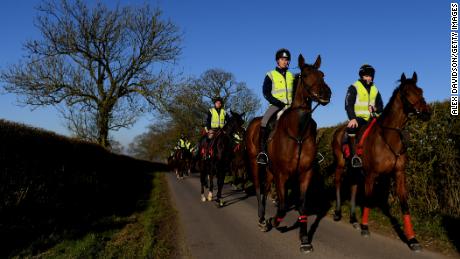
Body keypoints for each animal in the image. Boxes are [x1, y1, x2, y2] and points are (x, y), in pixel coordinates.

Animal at [248, 54, 330, 254]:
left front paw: (304, 239)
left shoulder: (305, 173)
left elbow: (302, 205)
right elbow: (284, 206)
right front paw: (273, 221)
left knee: (265, 190)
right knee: (259, 189)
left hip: (270, 171)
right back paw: (262, 219)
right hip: (256, 165)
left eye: (322, 74)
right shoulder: (282, 175)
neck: (298, 131)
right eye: (305, 74)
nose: (326, 93)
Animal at [330, 72, 432, 252]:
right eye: (407, 93)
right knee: (337, 183)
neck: (388, 137)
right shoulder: (371, 175)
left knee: (353, 187)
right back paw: (337, 213)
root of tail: (339, 130)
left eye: (420, 91)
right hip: (340, 165)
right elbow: (368, 199)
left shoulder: (399, 174)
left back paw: (353, 219)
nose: (427, 113)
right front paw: (365, 227)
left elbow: (404, 204)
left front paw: (412, 239)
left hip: (355, 170)